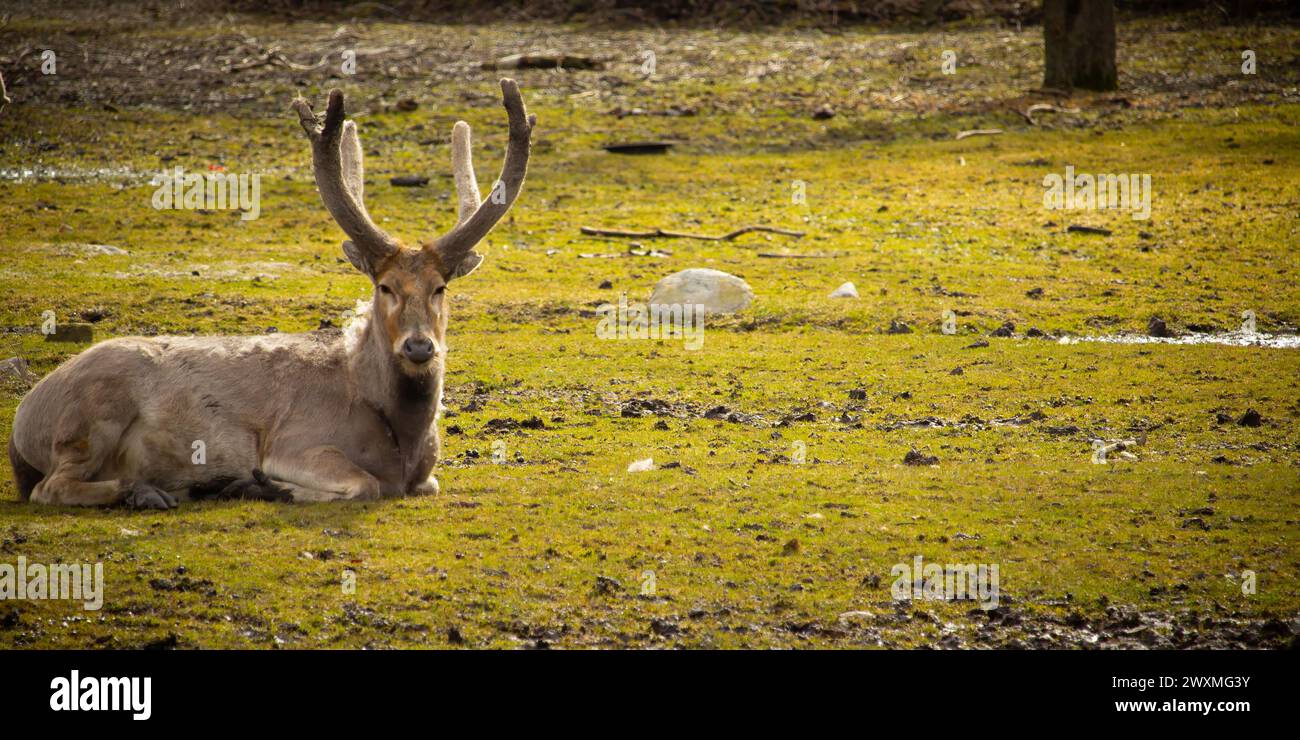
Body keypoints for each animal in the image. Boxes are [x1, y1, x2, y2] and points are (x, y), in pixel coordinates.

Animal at [5, 80, 533, 507]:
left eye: (440, 287)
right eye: (384, 287)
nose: (420, 346)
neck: (401, 441)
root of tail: (21, 423)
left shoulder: (427, 478)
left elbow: (429, 484)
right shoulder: (293, 442)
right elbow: (364, 483)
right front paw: (261, 484)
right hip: (88, 420)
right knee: (49, 488)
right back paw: (158, 490)